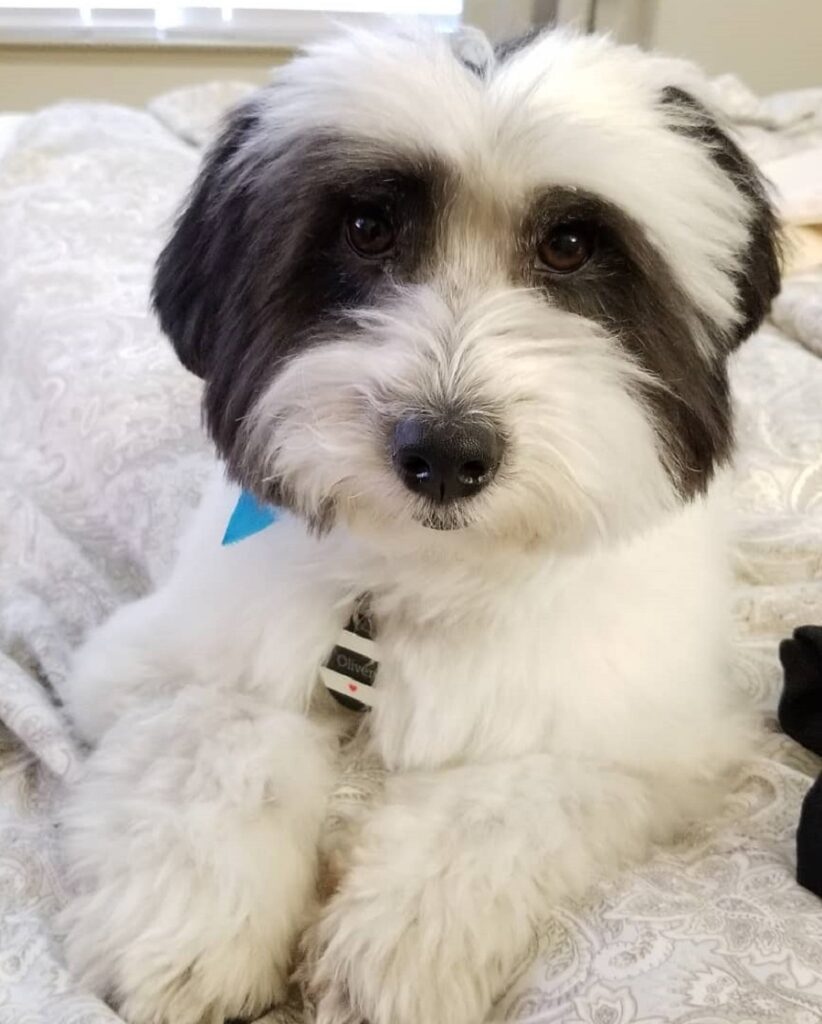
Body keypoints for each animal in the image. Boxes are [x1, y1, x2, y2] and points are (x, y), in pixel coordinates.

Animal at [57, 22, 777, 1024]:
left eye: (570, 246)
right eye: (367, 230)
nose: (443, 450)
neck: (430, 571)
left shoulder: (649, 744)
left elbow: (509, 799)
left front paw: (397, 944)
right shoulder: (151, 658)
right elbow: (215, 727)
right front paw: (184, 926)